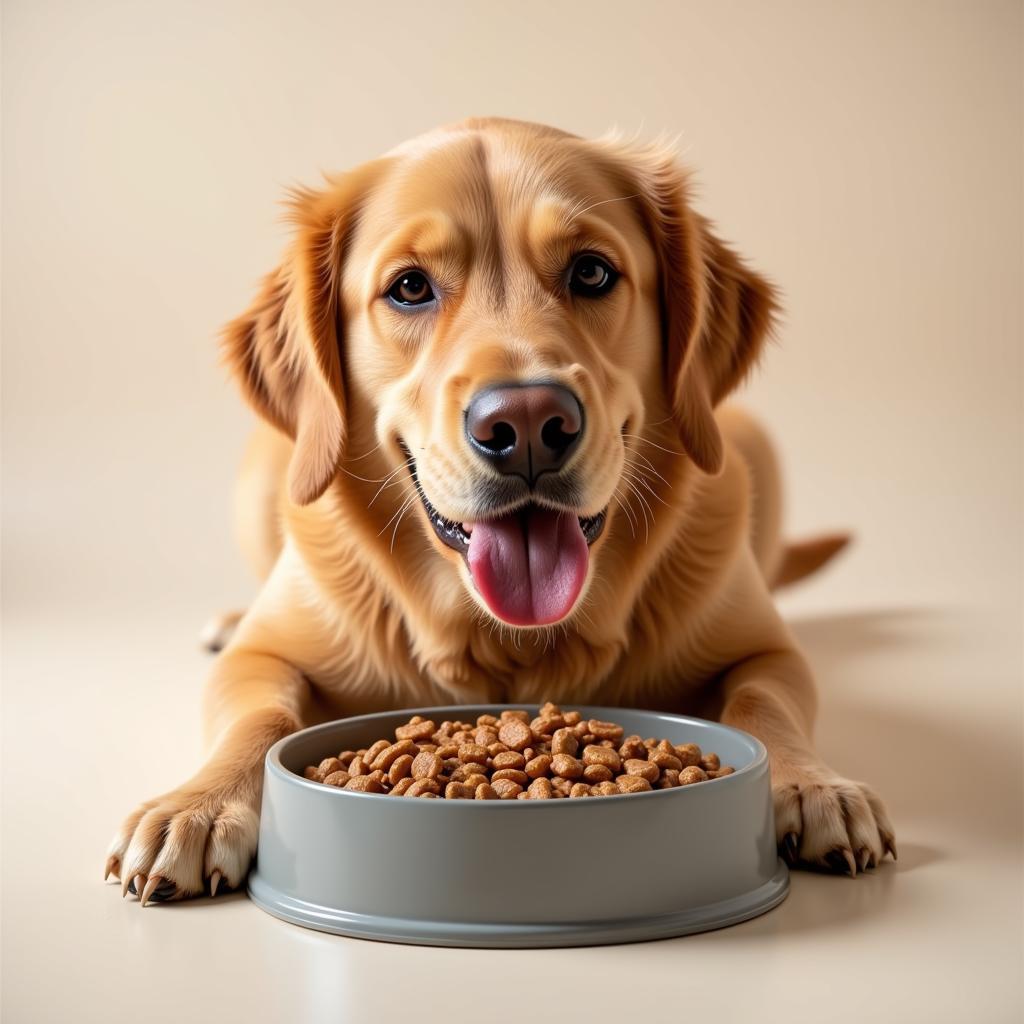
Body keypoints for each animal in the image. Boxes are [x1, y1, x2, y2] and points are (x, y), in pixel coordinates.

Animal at [108, 117, 897, 905]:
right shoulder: (264, 658)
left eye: (591, 272)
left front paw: (815, 786)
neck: (510, 642)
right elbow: (259, 713)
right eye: (409, 287)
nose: (526, 423)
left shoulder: (765, 651)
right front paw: (198, 805)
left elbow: (765, 703)